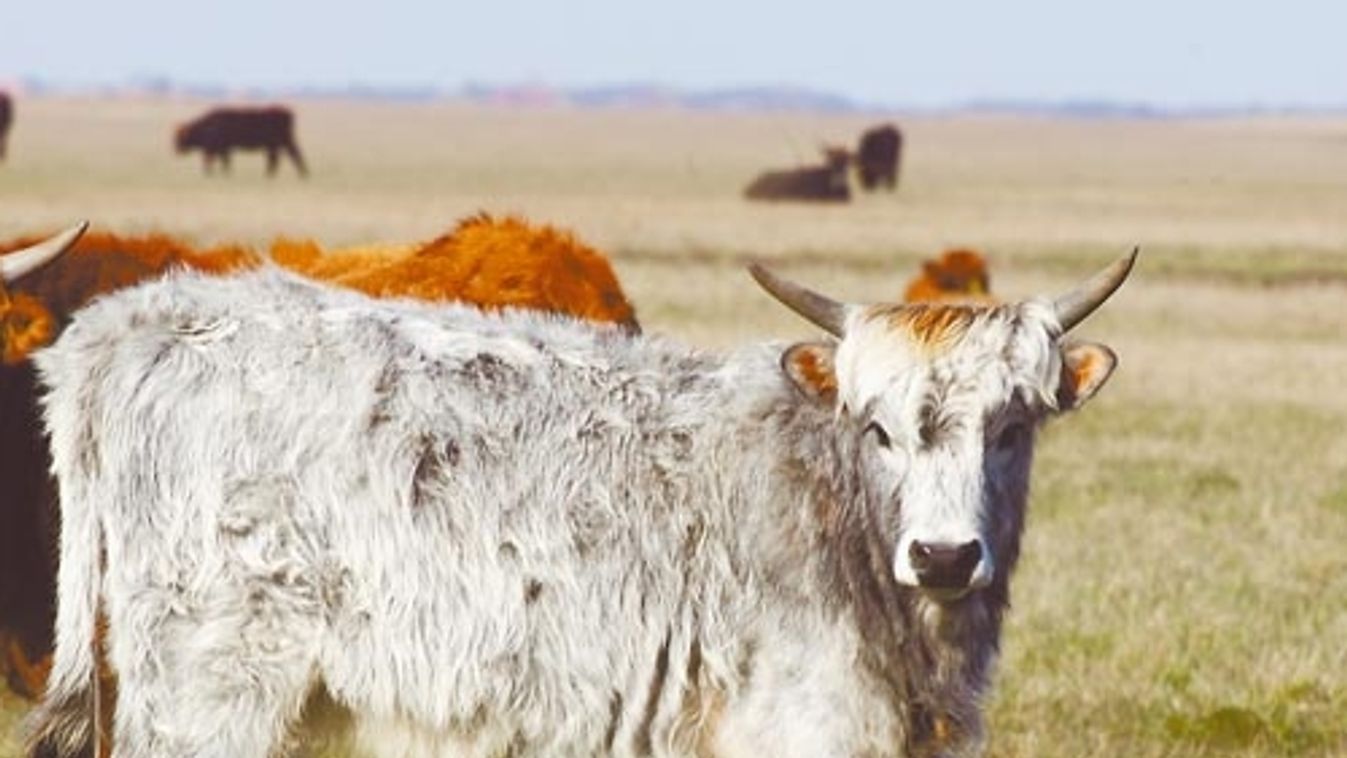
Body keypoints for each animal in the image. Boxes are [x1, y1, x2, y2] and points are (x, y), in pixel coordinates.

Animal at [173, 106, 308, 179]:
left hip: (281, 142)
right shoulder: (222, 150)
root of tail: (287, 112)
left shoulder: (217, 149)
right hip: (277, 144)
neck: (206, 125)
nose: (177, 150)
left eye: (180, 137)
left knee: (290, 155)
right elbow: (222, 162)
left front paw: (213, 174)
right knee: (279, 158)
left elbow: (214, 161)